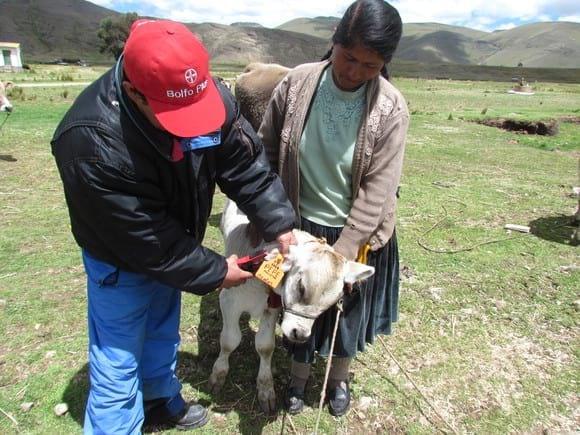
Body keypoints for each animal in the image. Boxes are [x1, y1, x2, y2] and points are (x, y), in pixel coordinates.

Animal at [211, 200, 374, 412]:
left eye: (331, 302)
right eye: (301, 287)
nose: (300, 334)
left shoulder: (271, 307)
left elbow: (265, 346)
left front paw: (266, 388)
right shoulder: (229, 300)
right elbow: (229, 340)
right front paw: (218, 374)